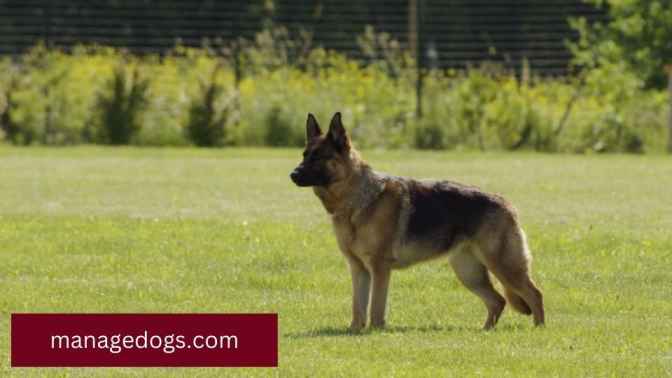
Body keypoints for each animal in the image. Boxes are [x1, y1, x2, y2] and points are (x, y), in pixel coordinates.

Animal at [290, 112, 544, 330]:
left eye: (319, 157)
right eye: (304, 155)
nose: (292, 175)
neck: (358, 198)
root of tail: (506, 203)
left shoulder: (379, 268)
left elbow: (375, 307)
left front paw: (375, 331)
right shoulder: (358, 269)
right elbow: (358, 307)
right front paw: (354, 331)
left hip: (503, 267)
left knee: (534, 294)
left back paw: (538, 329)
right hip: (469, 273)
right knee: (498, 301)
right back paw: (485, 331)